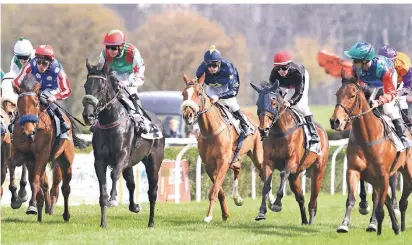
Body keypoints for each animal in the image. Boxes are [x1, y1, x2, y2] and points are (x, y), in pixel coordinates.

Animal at [9, 73, 87, 223]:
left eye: (36, 103)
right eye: (18, 104)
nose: (29, 133)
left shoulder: (42, 154)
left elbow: (35, 182)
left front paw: (31, 206)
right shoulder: (22, 155)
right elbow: (12, 166)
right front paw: (16, 199)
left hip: (65, 160)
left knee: (64, 188)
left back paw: (65, 214)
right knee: (45, 184)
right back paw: (43, 210)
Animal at [81, 59, 165, 228]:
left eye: (101, 87)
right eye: (86, 85)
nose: (88, 115)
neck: (110, 121)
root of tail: (158, 122)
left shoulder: (122, 156)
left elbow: (113, 174)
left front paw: (113, 199)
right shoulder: (99, 161)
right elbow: (102, 192)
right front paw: (103, 223)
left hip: (153, 162)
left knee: (152, 191)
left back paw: (151, 222)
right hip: (130, 164)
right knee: (131, 184)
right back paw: (134, 206)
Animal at [180, 73, 274, 223]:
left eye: (199, 93)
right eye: (183, 94)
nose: (187, 115)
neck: (210, 131)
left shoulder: (223, 162)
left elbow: (214, 191)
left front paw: (208, 216)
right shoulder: (209, 166)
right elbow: (219, 191)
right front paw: (225, 214)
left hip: (258, 156)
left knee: (265, 174)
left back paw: (271, 202)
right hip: (236, 158)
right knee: (239, 169)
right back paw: (237, 198)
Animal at [249, 81, 330, 225]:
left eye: (273, 102)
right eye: (258, 103)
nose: (263, 129)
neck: (279, 132)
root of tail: (323, 132)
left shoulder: (291, 161)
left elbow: (283, 173)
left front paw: (277, 204)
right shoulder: (268, 162)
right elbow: (266, 185)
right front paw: (262, 211)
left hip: (318, 169)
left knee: (313, 197)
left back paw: (311, 219)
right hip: (295, 176)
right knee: (300, 197)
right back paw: (304, 221)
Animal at [330, 70, 412, 234]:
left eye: (352, 95)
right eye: (337, 93)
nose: (335, 121)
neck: (367, 138)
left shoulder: (382, 175)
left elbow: (376, 199)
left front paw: (373, 223)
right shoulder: (353, 170)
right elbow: (351, 198)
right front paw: (344, 224)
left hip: (408, 171)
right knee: (398, 199)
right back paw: (398, 224)